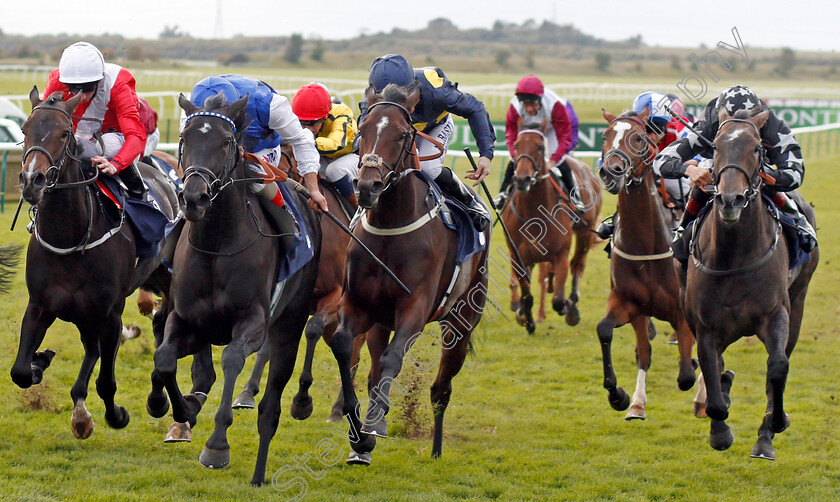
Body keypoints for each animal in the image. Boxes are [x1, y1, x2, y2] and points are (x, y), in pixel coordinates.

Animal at [12, 87, 177, 440]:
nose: (32, 180)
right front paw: (38, 362)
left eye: (64, 133)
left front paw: (117, 415)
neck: (70, 240)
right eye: (24, 129)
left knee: (163, 321)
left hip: (166, 277)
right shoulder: (40, 305)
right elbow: (19, 371)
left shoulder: (110, 313)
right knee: (94, 348)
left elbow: (106, 382)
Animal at [332, 82, 492, 462]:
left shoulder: (415, 308)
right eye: (362, 129)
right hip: (381, 320)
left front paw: (369, 433)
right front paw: (358, 434)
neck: (391, 225)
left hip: (462, 321)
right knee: (375, 368)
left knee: (441, 388)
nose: (367, 187)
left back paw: (435, 448)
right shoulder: (358, 304)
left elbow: (393, 359)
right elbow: (345, 347)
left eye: (403, 134)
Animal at [502, 124, 600, 334]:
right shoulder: (518, 257)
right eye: (516, 145)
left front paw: (565, 307)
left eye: (540, 147)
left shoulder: (560, 253)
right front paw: (527, 320)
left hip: (585, 232)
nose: (522, 179)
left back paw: (572, 308)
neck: (533, 214)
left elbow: (558, 299)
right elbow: (527, 295)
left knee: (577, 265)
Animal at [592, 110, 700, 420]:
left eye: (638, 138)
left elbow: (686, 374)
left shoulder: (681, 311)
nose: (612, 171)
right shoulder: (630, 303)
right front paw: (621, 397)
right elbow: (610, 333)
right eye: (605, 135)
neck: (647, 244)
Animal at [684, 109, 820, 458]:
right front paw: (720, 432)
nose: (730, 200)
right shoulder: (705, 325)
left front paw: (775, 423)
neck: (734, 257)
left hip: (799, 299)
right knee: (718, 368)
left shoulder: (776, 315)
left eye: (757, 148)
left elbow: (778, 366)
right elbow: (711, 375)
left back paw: (765, 437)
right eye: (715, 147)